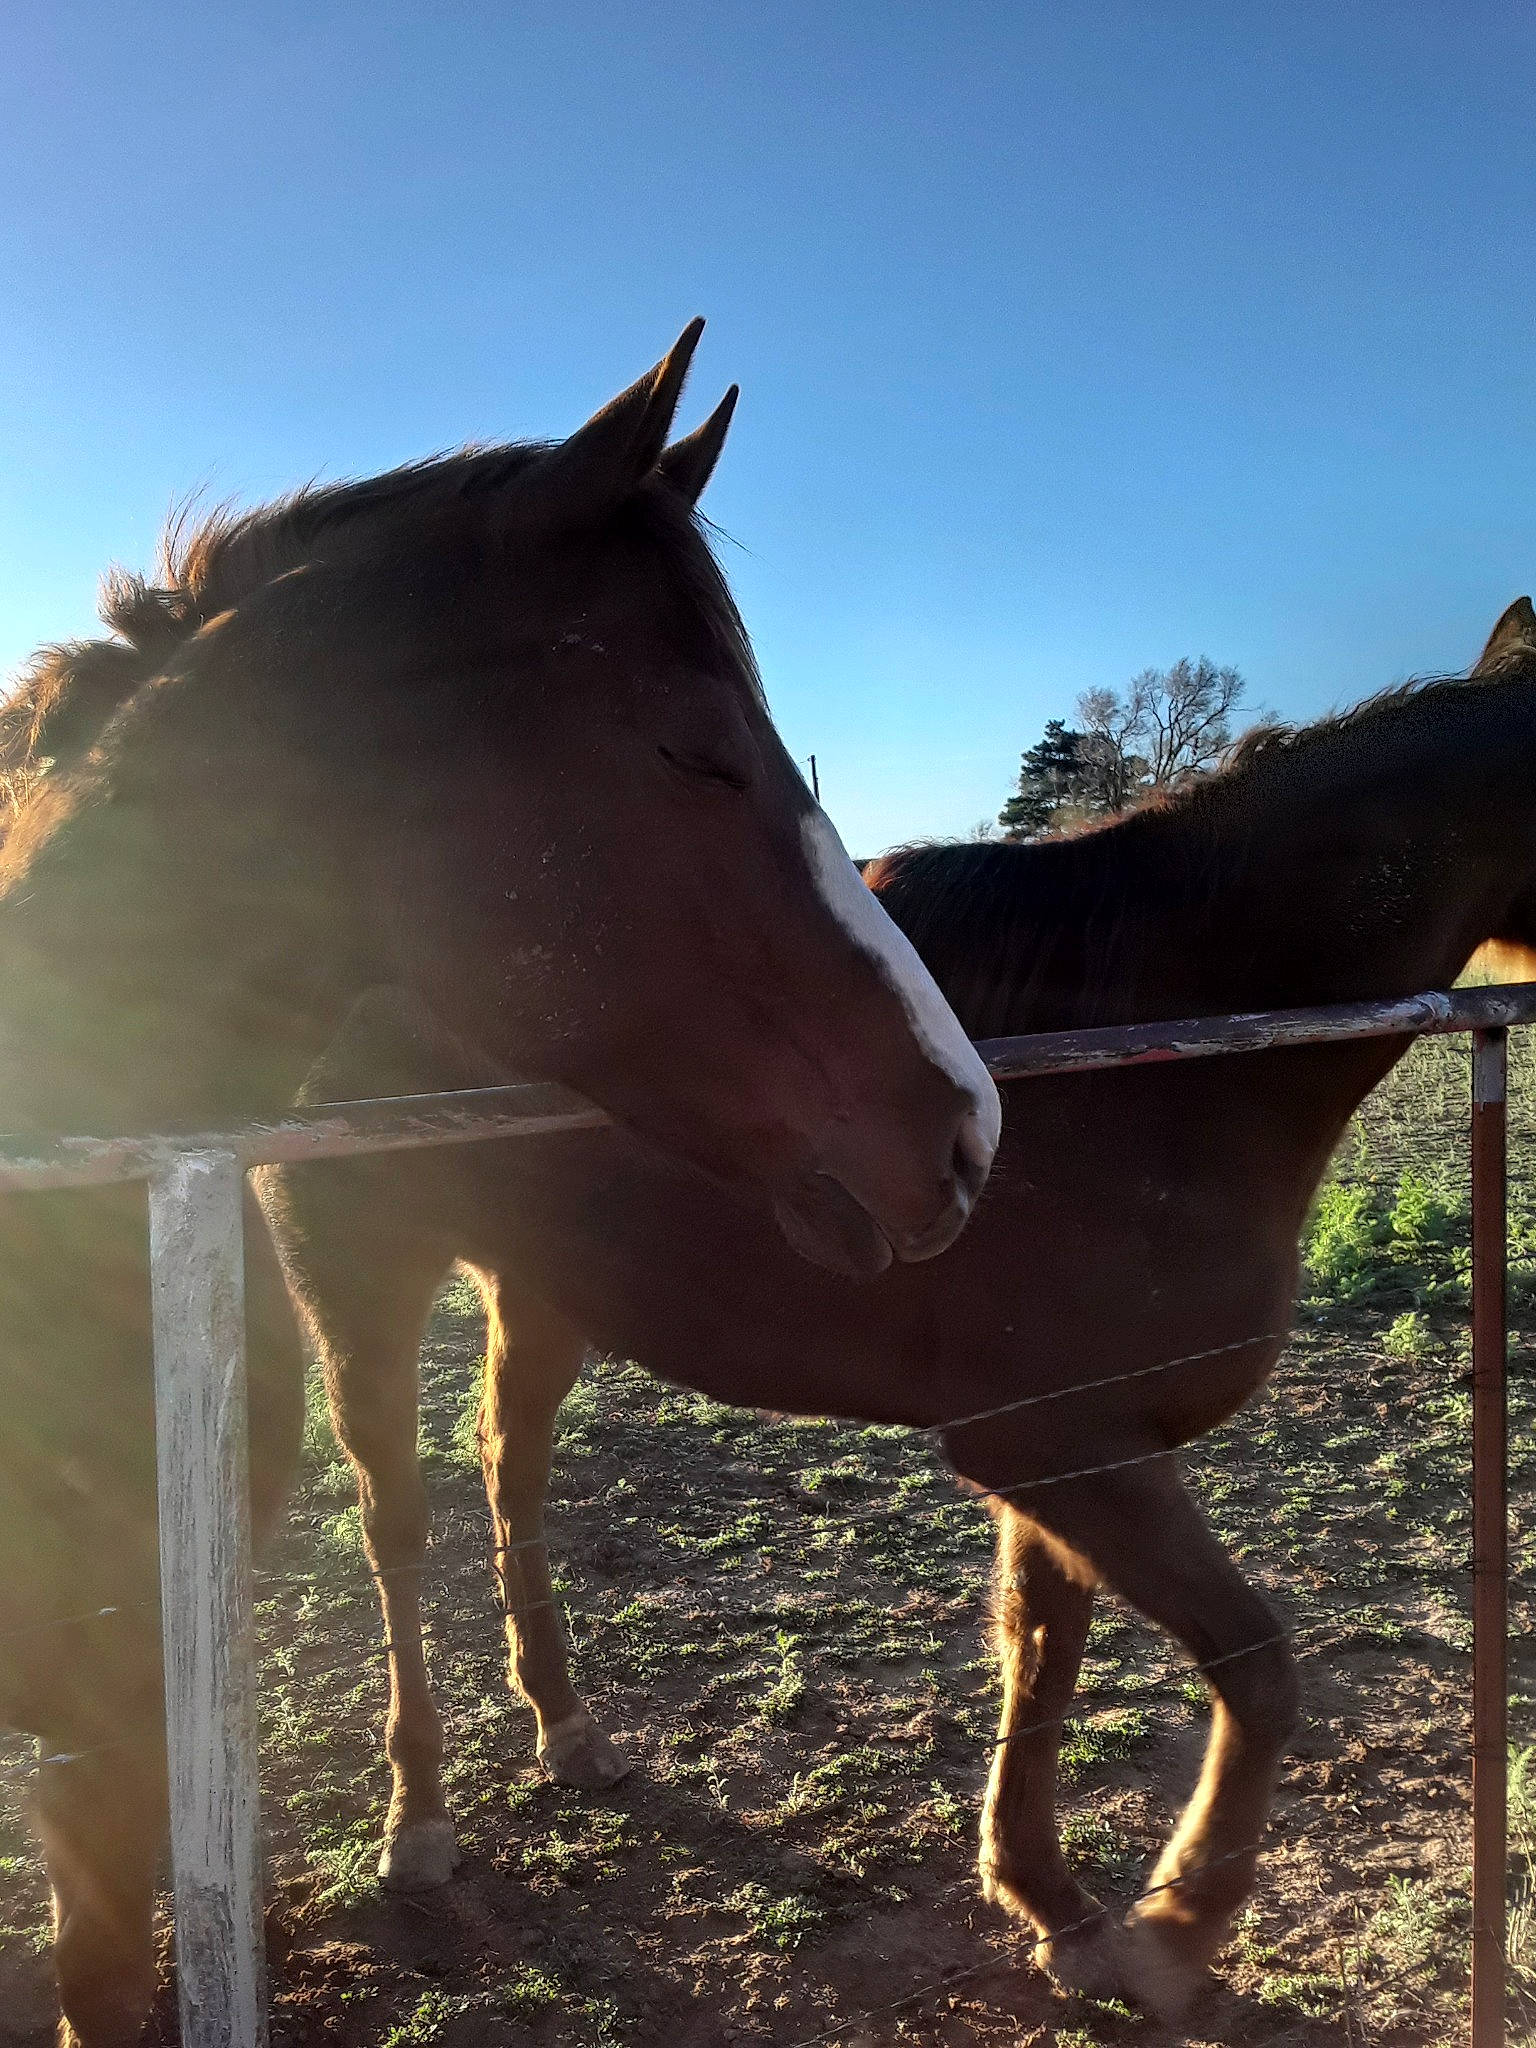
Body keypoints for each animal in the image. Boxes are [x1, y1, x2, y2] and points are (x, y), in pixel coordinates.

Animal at [254, 595, 1536, 2023]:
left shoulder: (1068, 1449)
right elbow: (1255, 1664)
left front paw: (1055, 1904)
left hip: (541, 1289)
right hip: (358, 1277)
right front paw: (1173, 1924)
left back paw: (567, 1724)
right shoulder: (1059, 1446)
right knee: (395, 1528)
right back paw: (417, 1814)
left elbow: (1043, 1655)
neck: (1150, 1059)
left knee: (508, 1469)